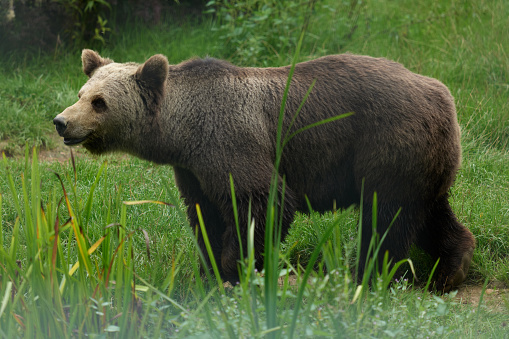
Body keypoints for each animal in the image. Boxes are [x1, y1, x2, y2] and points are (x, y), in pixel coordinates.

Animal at [53, 49, 474, 292]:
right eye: (81, 93)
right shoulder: (192, 169)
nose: (61, 122)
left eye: (100, 102)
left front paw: (234, 270)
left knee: (386, 216)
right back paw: (451, 268)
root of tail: (444, 95)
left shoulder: (228, 141)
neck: (180, 132)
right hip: (423, 159)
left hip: (386, 144)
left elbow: (261, 202)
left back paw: (367, 276)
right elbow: (204, 215)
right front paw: (210, 269)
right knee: (429, 211)